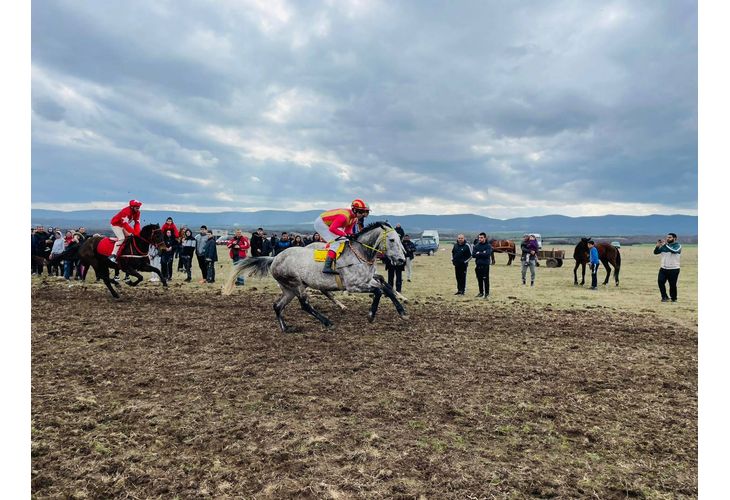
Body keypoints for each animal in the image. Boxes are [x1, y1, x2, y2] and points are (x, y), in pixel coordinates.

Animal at [219, 223, 406, 332]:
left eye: (399, 239)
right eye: (391, 240)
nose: (401, 260)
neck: (359, 253)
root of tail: (275, 258)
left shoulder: (367, 280)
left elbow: (386, 288)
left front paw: (402, 311)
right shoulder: (354, 285)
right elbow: (379, 291)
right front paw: (371, 315)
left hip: (289, 289)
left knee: (277, 306)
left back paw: (286, 328)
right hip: (296, 284)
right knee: (305, 304)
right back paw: (327, 322)